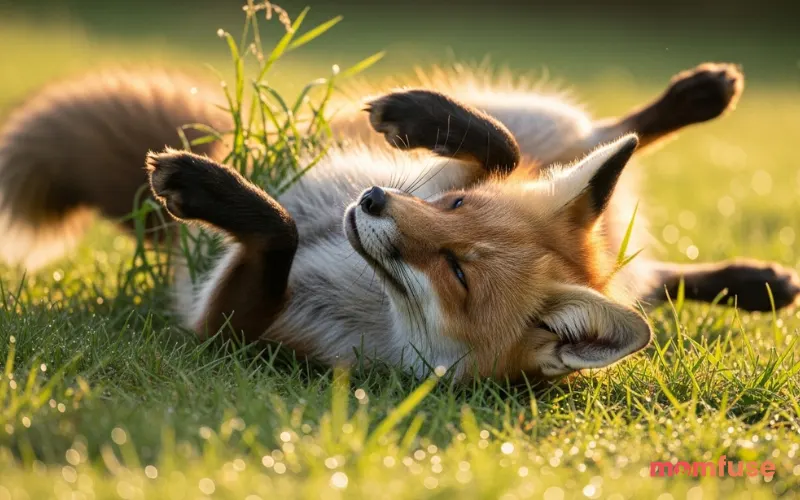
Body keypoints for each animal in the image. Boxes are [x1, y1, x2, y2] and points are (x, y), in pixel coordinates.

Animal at [1, 62, 798, 381]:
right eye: (454, 211)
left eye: (457, 273)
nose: (373, 204)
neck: (369, 298)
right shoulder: (436, 178)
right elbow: (498, 151)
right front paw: (420, 116)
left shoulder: (235, 330)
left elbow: (280, 232)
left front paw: (202, 188)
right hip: (557, 142)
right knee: (600, 143)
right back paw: (700, 98)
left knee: (654, 274)